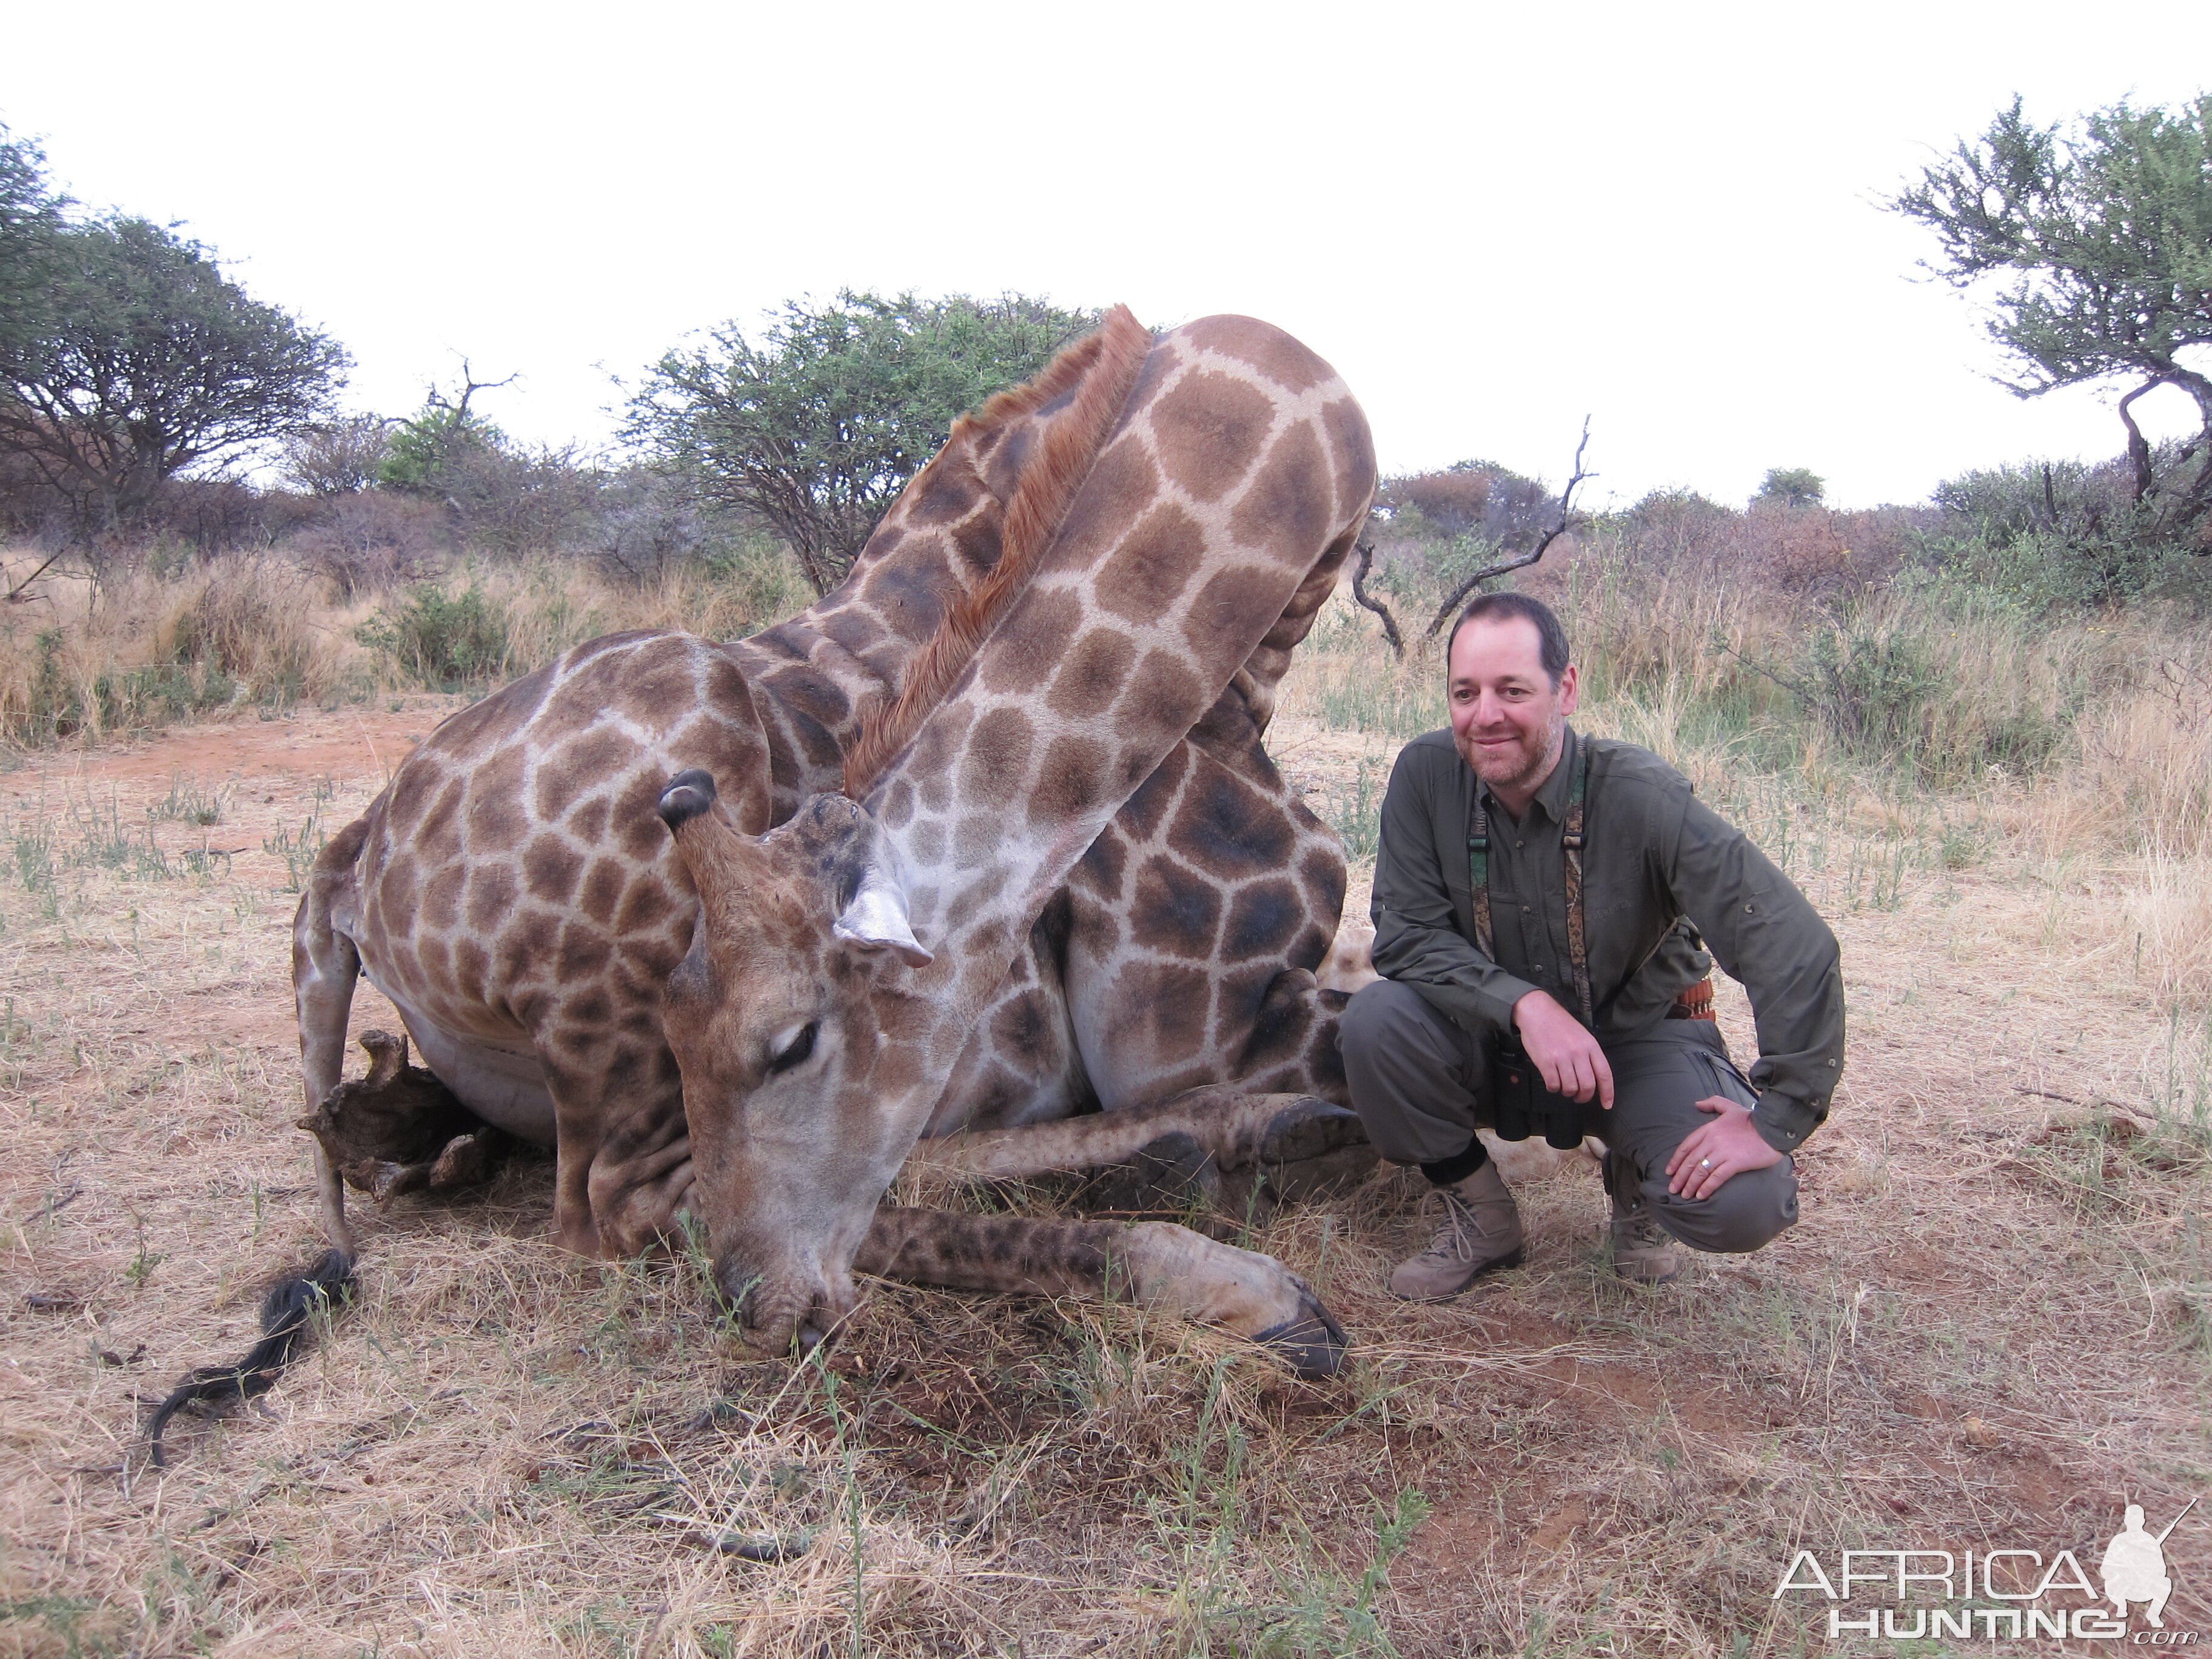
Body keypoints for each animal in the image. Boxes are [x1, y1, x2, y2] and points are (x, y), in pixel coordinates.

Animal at [285, 309, 1371, 1380]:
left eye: (794, 1044)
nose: (755, 1303)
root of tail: (348, 863)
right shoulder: (1188, 1034)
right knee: (628, 1205)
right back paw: (1234, 1263)